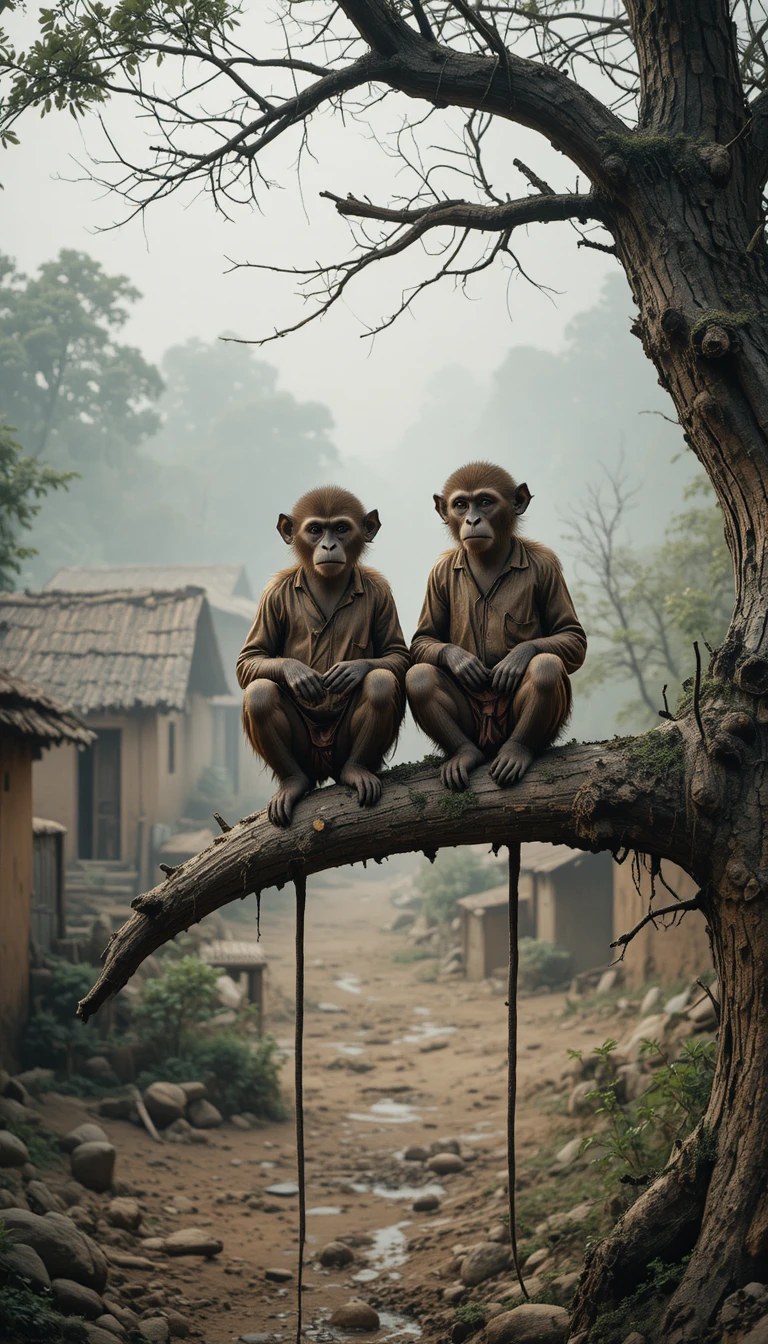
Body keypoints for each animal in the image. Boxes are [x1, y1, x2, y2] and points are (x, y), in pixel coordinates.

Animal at [237, 485, 408, 827]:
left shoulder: (383, 593)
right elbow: (249, 659)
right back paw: (293, 782)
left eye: (341, 528)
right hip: (307, 756)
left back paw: (356, 770)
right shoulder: (272, 594)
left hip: (339, 754)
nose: (329, 545)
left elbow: (397, 654)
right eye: (315, 530)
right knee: (260, 692)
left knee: (381, 683)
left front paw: (352, 669)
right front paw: (296, 672)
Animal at [406, 461, 587, 791]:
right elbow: (424, 640)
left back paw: (517, 751)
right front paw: (461, 661)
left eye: (485, 502)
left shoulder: (548, 567)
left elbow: (573, 637)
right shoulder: (436, 575)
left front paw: (515, 659)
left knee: (546, 667)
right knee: (420, 676)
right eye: (461, 504)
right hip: (475, 728)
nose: (472, 519)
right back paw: (464, 753)